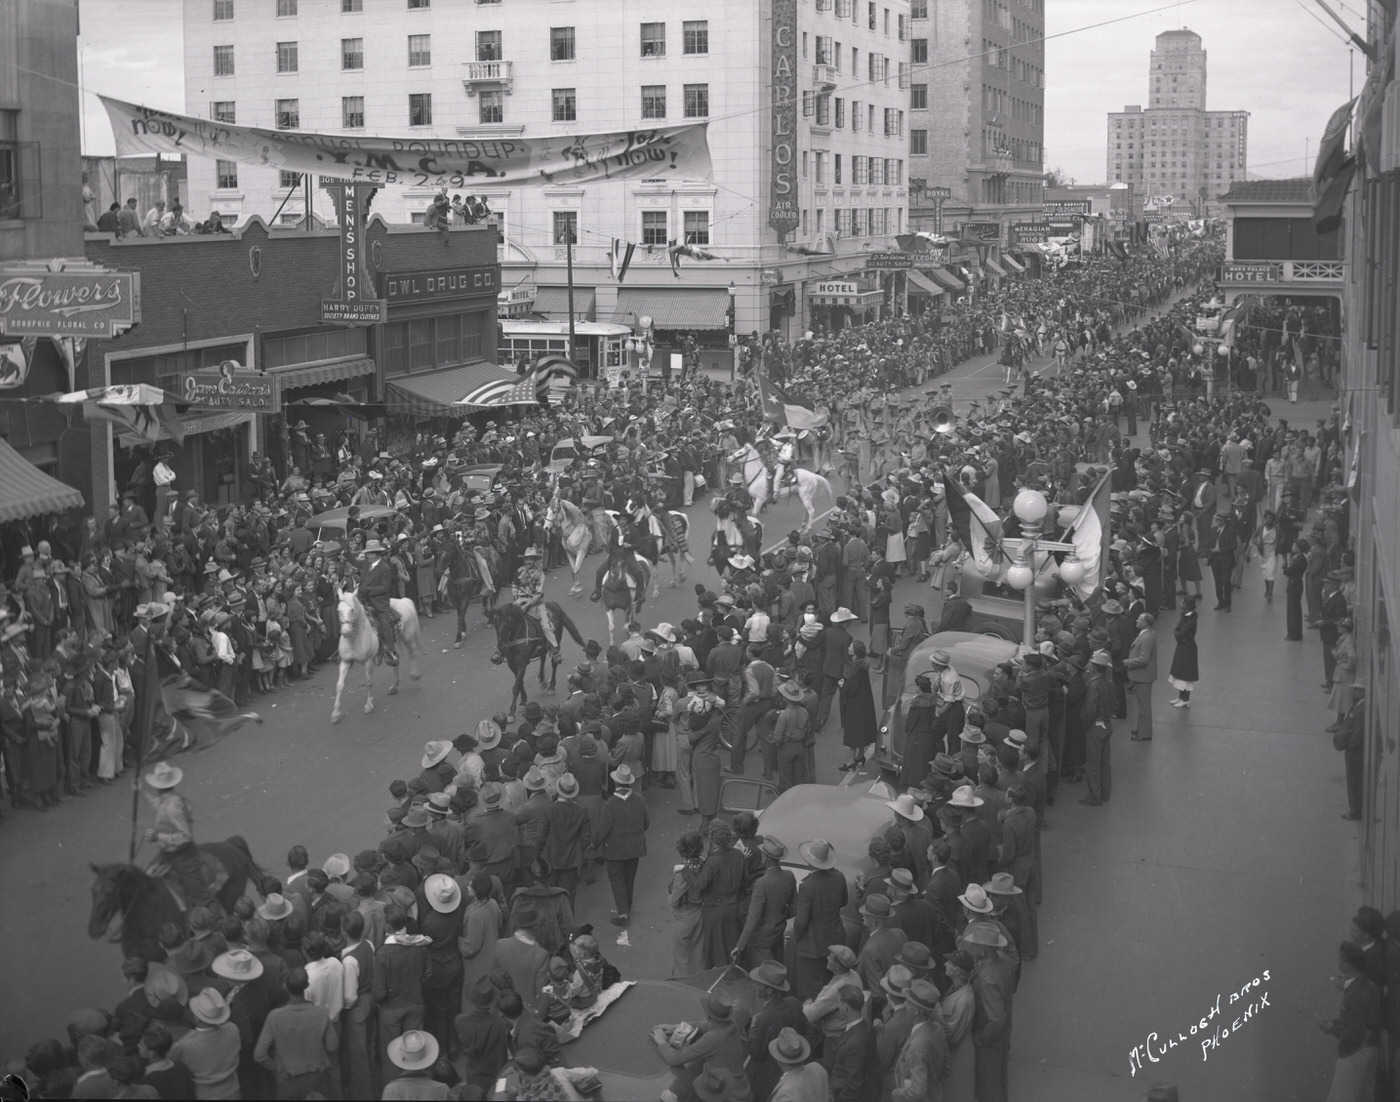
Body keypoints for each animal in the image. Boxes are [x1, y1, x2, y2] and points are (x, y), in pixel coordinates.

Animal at [90, 840, 264, 963]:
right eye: (93, 891)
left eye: (110, 891)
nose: (94, 929)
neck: (146, 913)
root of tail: (230, 844)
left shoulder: (165, 955)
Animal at [331, 593, 420, 722]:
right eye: (338, 610)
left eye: (352, 610)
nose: (346, 632)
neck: (356, 637)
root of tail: (404, 600)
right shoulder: (345, 661)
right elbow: (339, 685)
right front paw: (335, 713)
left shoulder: (368, 661)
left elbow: (368, 682)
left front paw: (368, 705)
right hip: (395, 643)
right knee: (396, 662)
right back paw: (394, 687)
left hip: (408, 638)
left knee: (413, 653)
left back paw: (415, 675)